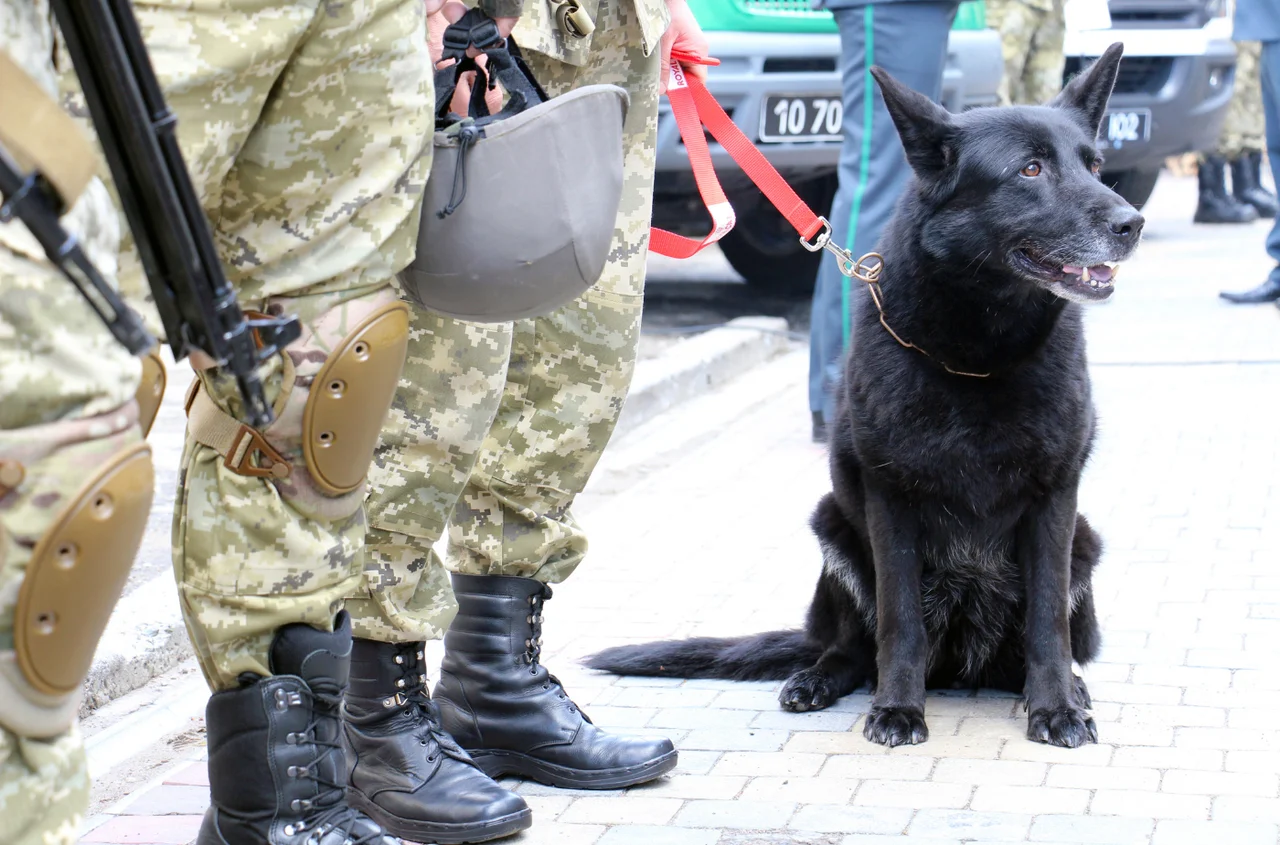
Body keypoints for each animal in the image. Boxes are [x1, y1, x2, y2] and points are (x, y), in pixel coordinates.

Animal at [586, 42, 1146, 747]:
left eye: (1095, 166)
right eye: (1031, 169)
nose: (1133, 223)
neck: (977, 360)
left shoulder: (1054, 503)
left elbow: (1048, 624)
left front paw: (1055, 708)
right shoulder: (891, 503)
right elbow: (900, 625)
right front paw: (898, 709)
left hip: (1083, 543)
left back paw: (1068, 686)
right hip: (835, 529)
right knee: (852, 647)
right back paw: (819, 679)